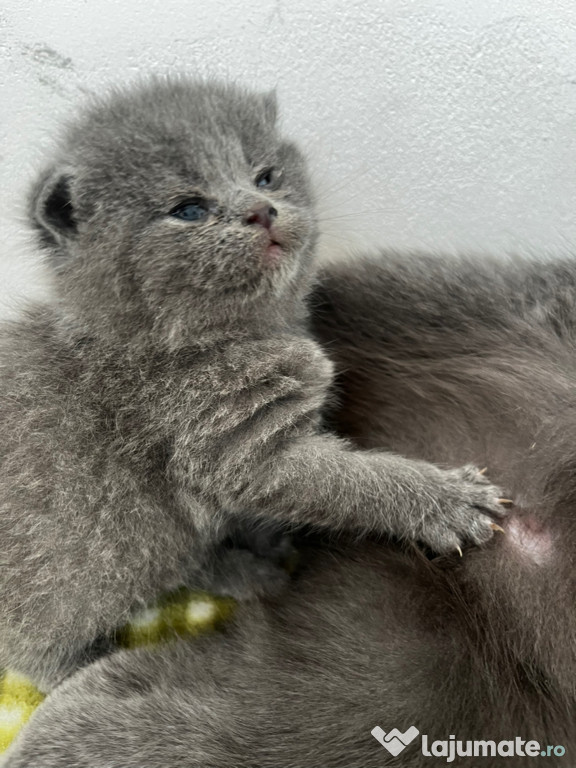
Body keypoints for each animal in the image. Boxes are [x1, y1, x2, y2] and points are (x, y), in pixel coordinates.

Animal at [0, 76, 504, 688]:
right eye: (189, 209)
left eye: (265, 176)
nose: (263, 210)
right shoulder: (231, 442)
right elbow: (350, 482)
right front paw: (444, 501)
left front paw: (271, 543)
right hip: (68, 586)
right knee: (39, 657)